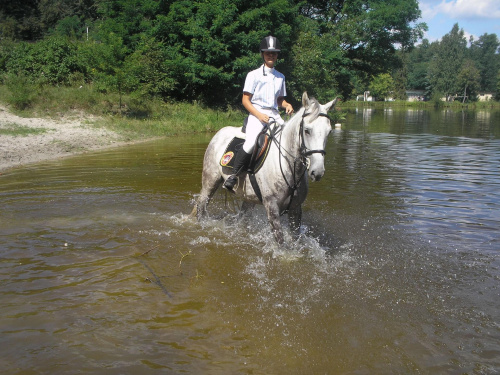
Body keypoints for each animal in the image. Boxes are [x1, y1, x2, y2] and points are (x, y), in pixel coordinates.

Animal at [193, 92, 338, 245]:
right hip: (210, 181)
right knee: (201, 206)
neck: (289, 166)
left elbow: (295, 238)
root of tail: (219, 133)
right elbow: (280, 242)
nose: (318, 172)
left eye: (329, 132)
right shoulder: (272, 207)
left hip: (248, 197)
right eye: (307, 130)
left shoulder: (296, 208)